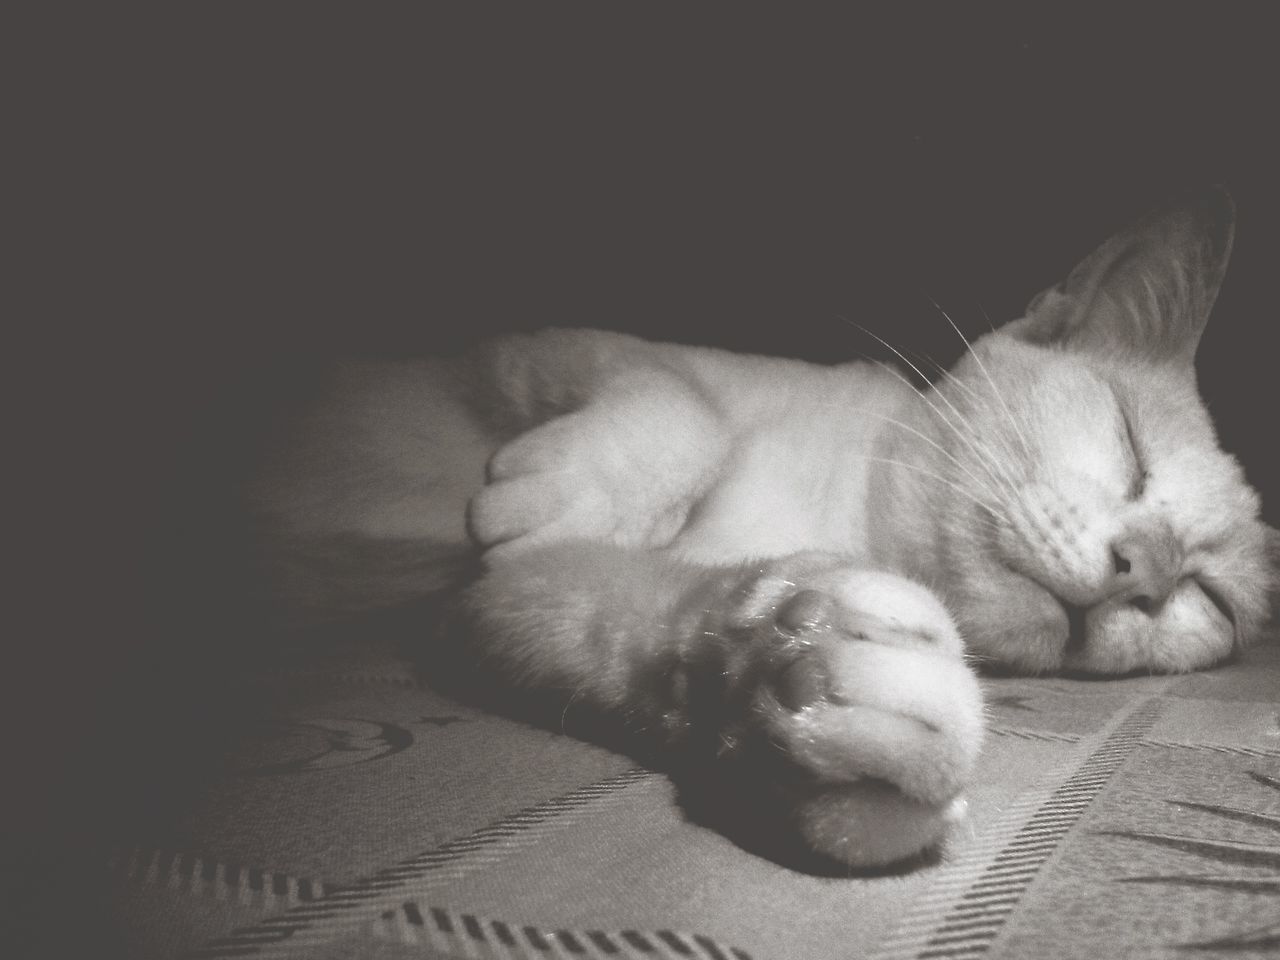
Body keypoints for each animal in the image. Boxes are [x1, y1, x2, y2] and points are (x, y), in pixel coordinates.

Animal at [244, 188, 1274, 870]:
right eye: (1131, 447)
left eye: (1205, 599)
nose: (1141, 570)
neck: (840, 503)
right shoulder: (533, 354)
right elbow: (679, 412)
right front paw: (575, 492)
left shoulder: (501, 600)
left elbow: (640, 625)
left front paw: (795, 686)